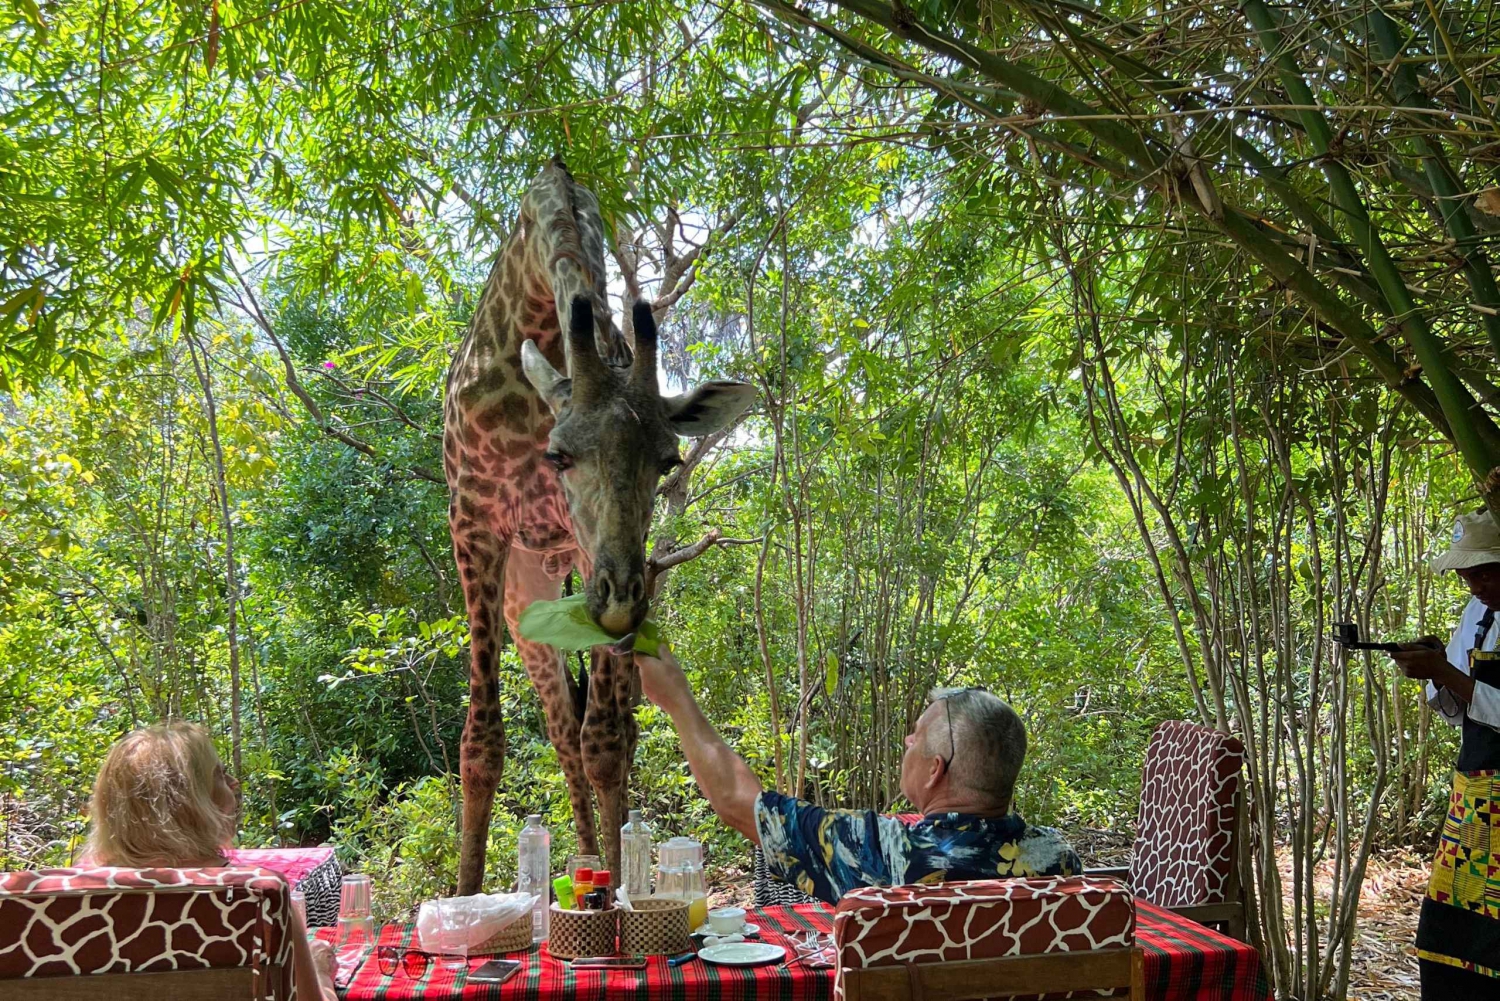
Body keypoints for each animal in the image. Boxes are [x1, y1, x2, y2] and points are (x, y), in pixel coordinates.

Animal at [443, 160, 754, 894]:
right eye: (559, 455)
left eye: (666, 460)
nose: (618, 606)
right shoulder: (473, 516)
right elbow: (481, 742)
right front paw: (463, 896)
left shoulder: (592, 552)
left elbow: (607, 742)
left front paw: (619, 889)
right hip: (526, 611)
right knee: (559, 732)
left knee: (592, 735)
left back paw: (594, 865)